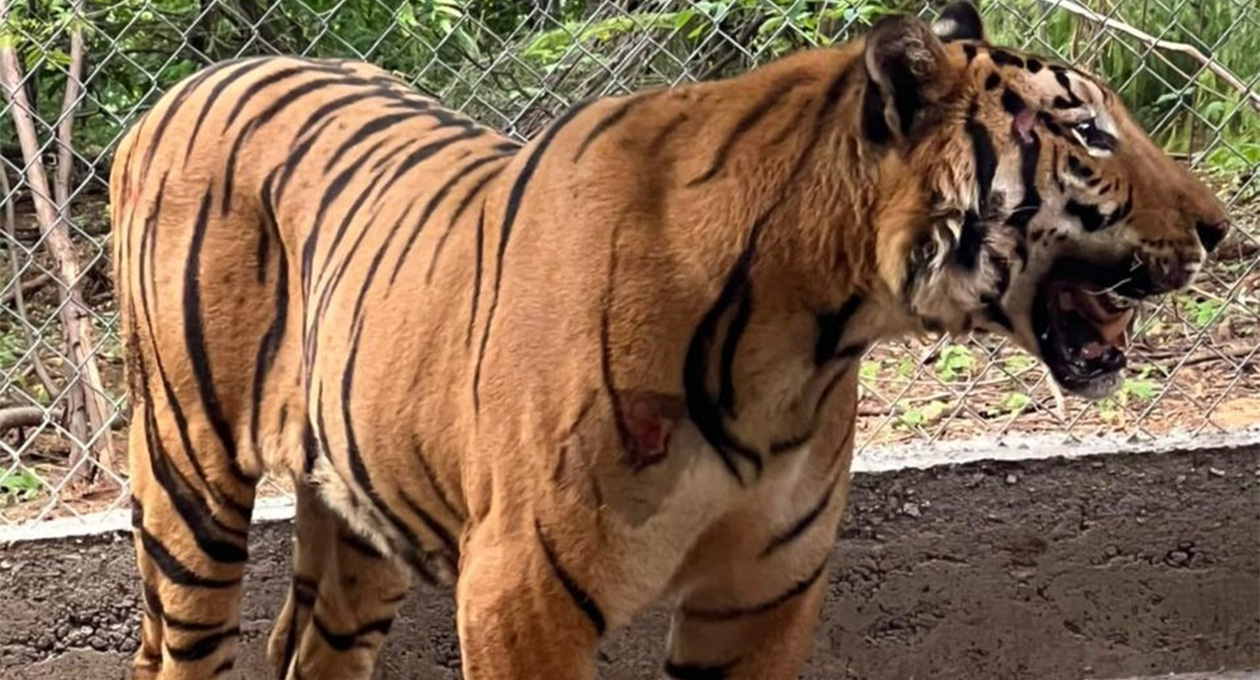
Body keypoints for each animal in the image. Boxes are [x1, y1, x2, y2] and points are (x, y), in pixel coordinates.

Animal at [109, 2, 1229, 678]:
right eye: (1088, 132)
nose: (1222, 228)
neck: (809, 335)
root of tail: (185, 88)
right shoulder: (520, 594)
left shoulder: (764, 592)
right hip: (189, 477)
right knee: (173, 651)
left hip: (359, 519)